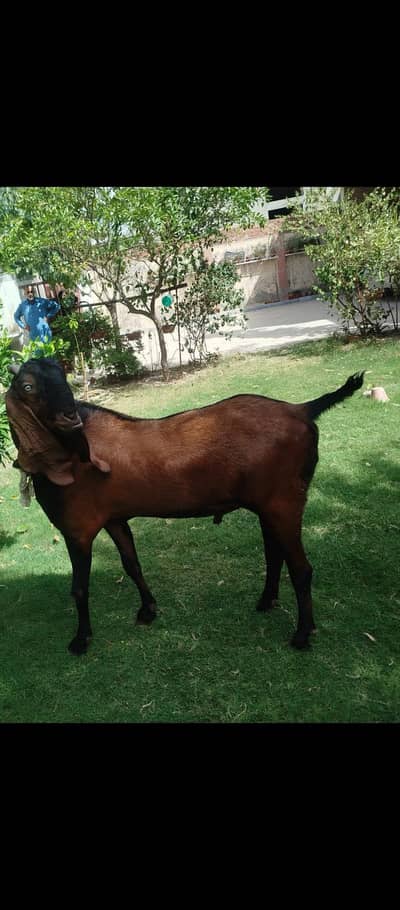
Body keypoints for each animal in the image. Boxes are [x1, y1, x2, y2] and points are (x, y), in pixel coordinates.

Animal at [6, 357, 364, 655]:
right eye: (27, 386)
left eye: (64, 376)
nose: (70, 416)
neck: (71, 452)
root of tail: (302, 410)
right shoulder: (114, 518)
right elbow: (132, 564)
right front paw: (148, 610)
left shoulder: (77, 530)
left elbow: (79, 588)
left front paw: (81, 640)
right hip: (270, 505)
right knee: (275, 555)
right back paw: (266, 601)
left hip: (285, 501)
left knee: (302, 568)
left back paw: (302, 634)